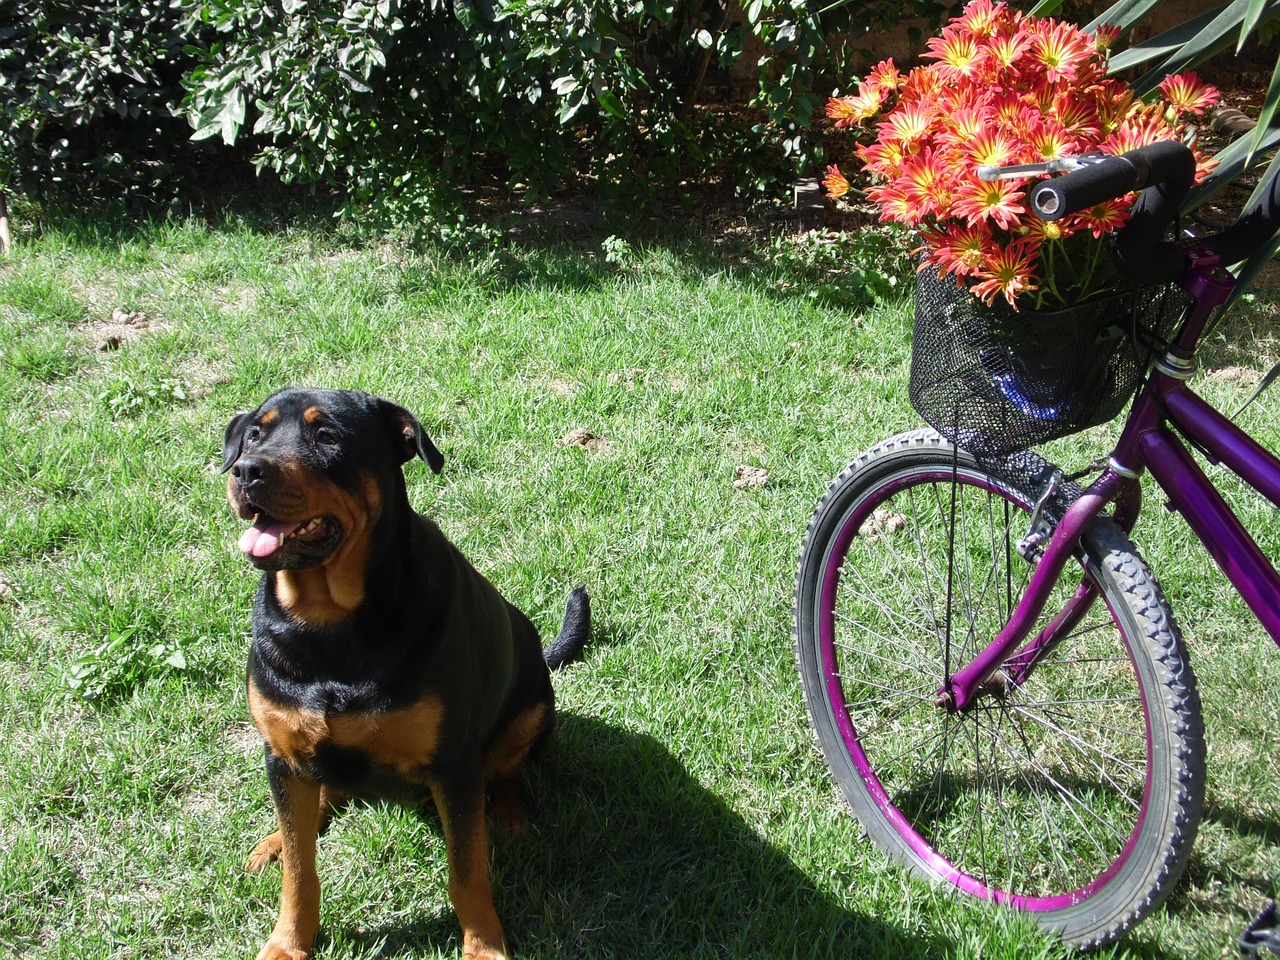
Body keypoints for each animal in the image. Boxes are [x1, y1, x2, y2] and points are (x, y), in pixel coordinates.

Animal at [222, 386, 591, 957]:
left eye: (326, 435)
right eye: (254, 434)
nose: (245, 470)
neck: (332, 624)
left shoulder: (454, 764)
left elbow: (467, 871)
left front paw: (483, 945)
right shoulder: (280, 753)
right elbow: (301, 875)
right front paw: (288, 941)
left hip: (532, 706)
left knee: (508, 767)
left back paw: (509, 814)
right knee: (320, 798)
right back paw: (276, 840)